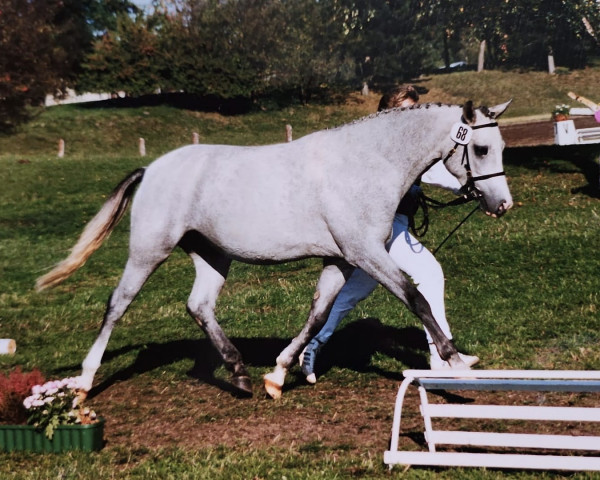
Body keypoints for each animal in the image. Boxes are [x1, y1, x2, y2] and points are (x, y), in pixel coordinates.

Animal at [35, 100, 510, 398]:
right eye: (481, 148)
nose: (501, 204)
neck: (366, 163)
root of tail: (151, 168)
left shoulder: (340, 260)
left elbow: (318, 312)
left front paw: (279, 375)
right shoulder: (365, 254)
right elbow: (415, 298)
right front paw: (456, 361)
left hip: (213, 255)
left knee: (199, 305)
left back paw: (240, 373)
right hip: (149, 251)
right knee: (118, 304)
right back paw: (83, 385)